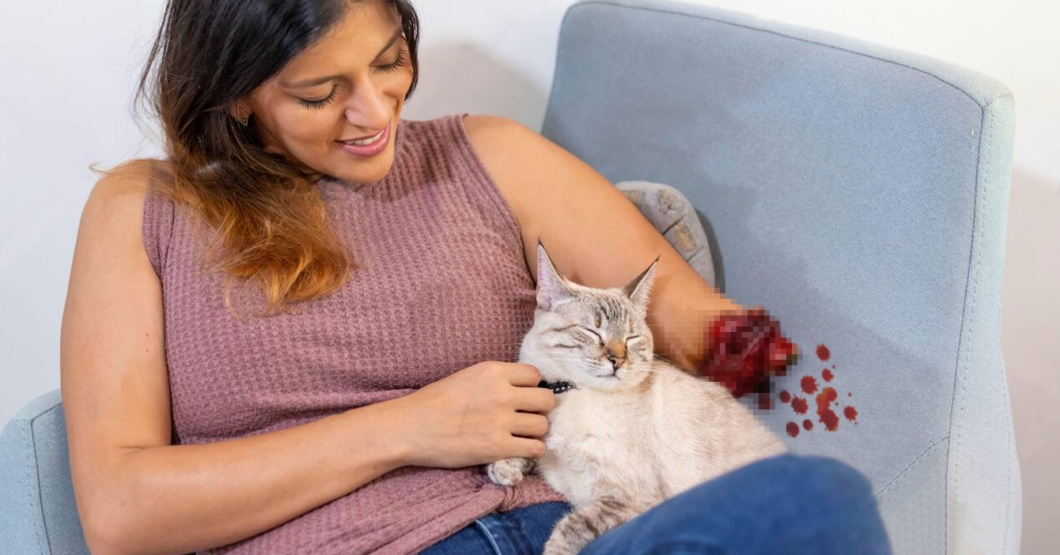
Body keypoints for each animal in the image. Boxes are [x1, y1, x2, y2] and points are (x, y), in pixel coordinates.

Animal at [485, 243, 788, 555]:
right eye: (593, 331)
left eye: (631, 338)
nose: (618, 360)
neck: (570, 392)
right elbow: (529, 444)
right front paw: (504, 469)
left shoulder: (630, 499)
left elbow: (570, 527)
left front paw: (553, 549)